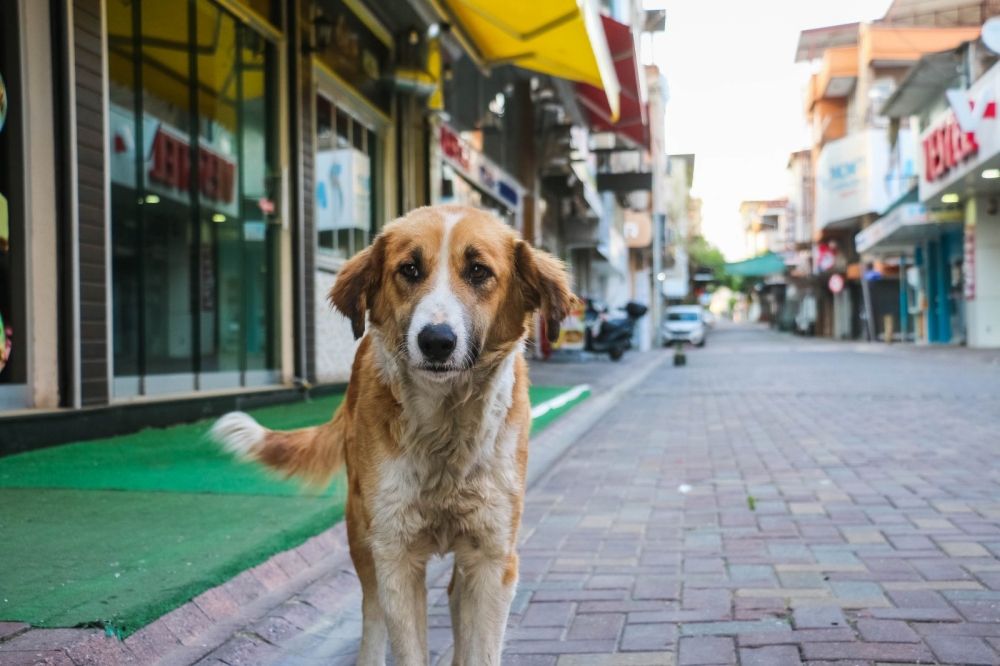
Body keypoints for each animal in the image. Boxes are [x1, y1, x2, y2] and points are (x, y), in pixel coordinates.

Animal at [211, 204, 572, 664]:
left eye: (477, 271)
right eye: (409, 269)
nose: (436, 341)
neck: (445, 429)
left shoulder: (492, 557)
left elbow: (480, 647)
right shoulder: (395, 555)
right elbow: (402, 640)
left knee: (454, 595)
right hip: (360, 529)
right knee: (371, 608)